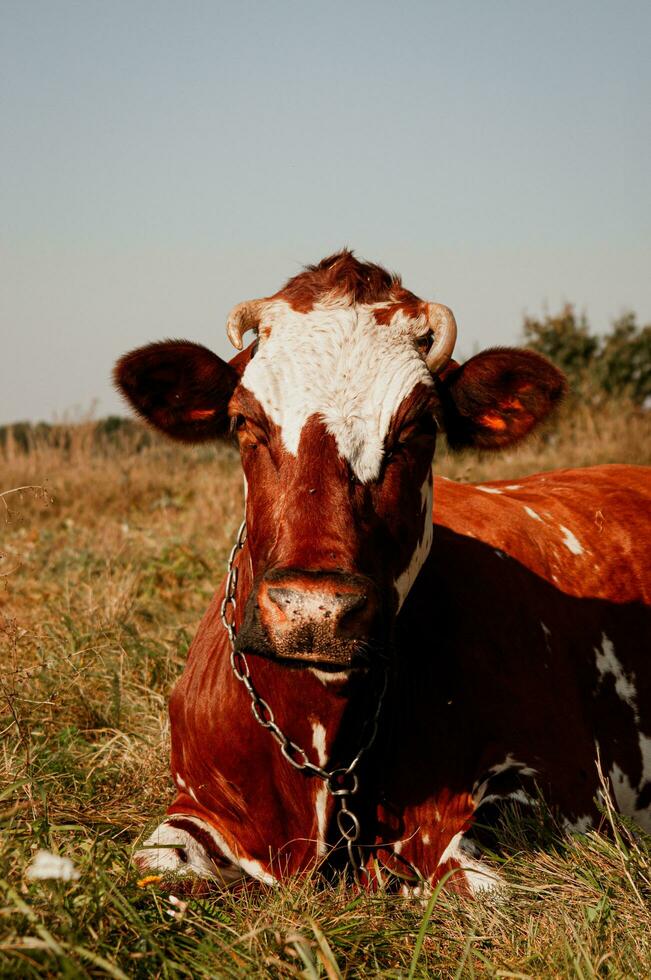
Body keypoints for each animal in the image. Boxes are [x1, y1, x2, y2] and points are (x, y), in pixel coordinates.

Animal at [117, 251, 651, 896]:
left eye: (419, 427)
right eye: (245, 422)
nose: (314, 609)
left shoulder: (565, 789)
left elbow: (474, 877)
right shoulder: (197, 806)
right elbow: (154, 862)